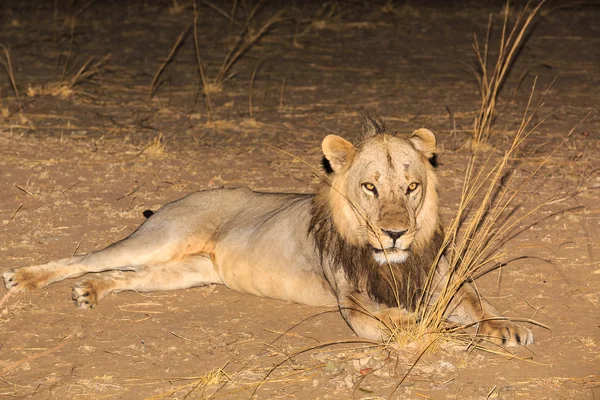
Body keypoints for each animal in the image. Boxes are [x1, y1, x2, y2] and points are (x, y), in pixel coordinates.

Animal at [1, 114, 536, 346]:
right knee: (85, 258)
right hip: (162, 237)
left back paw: (90, 292)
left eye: (411, 187)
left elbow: (479, 303)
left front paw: (506, 327)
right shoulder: (354, 305)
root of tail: (183, 197)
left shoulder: (443, 280)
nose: (395, 234)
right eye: (369, 187)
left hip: (185, 272)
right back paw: (25, 278)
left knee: (123, 276)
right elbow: (391, 323)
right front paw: (432, 327)